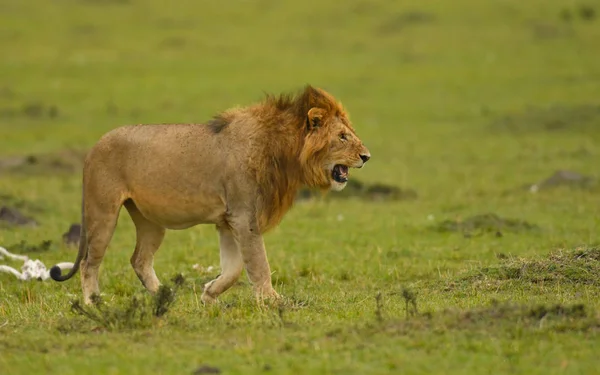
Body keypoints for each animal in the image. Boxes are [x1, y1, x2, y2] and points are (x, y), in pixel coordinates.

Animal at [50, 85, 370, 306]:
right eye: (342, 136)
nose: (367, 156)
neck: (284, 152)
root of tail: (94, 147)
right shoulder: (243, 217)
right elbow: (259, 264)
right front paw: (272, 300)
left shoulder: (228, 222)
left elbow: (234, 269)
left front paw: (208, 295)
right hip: (102, 212)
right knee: (90, 262)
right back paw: (93, 302)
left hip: (150, 221)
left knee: (139, 259)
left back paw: (165, 296)